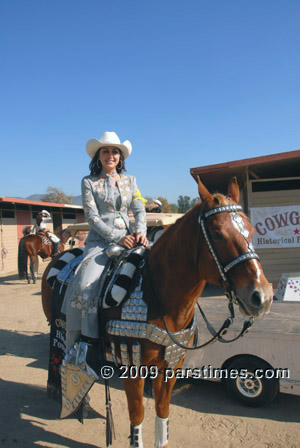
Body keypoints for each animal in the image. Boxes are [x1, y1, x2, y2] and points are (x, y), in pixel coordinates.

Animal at [41, 177, 274, 446]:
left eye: (252, 230)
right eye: (217, 234)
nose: (262, 296)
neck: (158, 295)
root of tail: (62, 254)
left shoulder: (171, 363)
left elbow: (162, 413)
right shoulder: (132, 365)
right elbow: (137, 414)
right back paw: (81, 402)